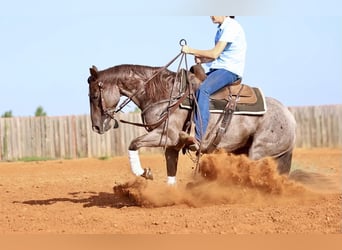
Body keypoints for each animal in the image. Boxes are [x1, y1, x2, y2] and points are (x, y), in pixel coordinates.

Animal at [88, 63, 296, 185]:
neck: (165, 94)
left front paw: (144, 172)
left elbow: (133, 144)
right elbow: (171, 170)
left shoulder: (167, 136)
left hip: (258, 151)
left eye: (95, 95)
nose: (97, 127)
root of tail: (289, 117)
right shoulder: (172, 145)